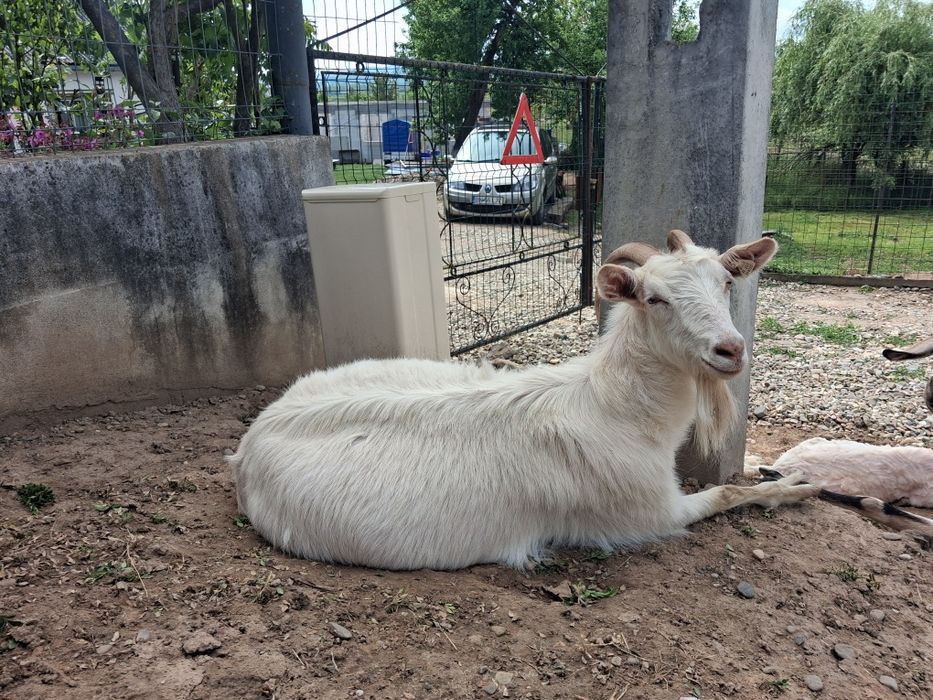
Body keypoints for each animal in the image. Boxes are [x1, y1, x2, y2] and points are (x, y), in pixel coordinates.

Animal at [228, 229, 819, 570]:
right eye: (655, 298)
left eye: (726, 283)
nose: (730, 350)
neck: (614, 408)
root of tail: (249, 442)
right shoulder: (649, 512)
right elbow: (726, 493)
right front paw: (800, 487)